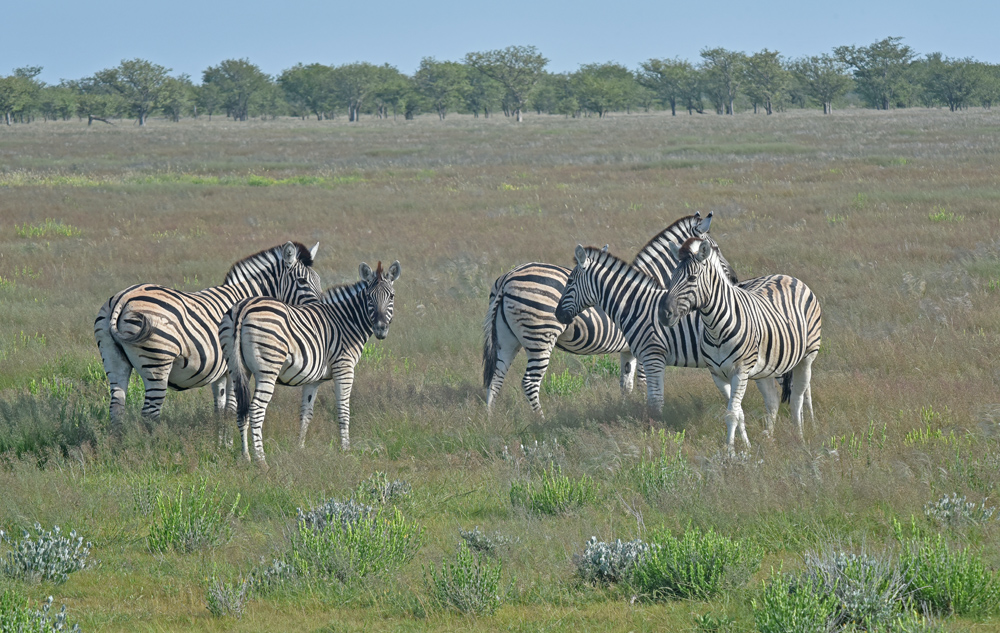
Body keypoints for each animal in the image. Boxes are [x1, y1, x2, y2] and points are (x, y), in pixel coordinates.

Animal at [93, 242, 320, 424]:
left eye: (317, 280)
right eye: (302, 281)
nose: (319, 310)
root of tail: (123, 298)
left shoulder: (219, 373)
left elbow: (220, 409)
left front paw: (220, 442)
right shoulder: (233, 367)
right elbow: (232, 409)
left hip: (114, 361)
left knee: (116, 408)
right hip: (157, 362)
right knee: (149, 413)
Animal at [225, 260, 400, 462]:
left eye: (391, 296)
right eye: (369, 297)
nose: (380, 329)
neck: (347, 321)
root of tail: (243, 308)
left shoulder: (313, 380)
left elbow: (306, 413)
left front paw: (300, 448)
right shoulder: (344, 368)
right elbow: (343, 410)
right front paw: (346, 449)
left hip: (237, 369)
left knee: (239, 410)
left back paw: (245, 456)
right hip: (267, 370)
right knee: (255, 410)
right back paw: (261, 459)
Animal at [556, 239, 780, 428]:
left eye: (570, 281)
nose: (558, 314)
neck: (636, 306)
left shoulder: (652, 355)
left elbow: (655, 401)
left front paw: (656, 433)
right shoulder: (647, 357)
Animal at [656, 237, 820, 454]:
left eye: (691, 278)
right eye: (671, 278)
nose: (663, 314)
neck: (715, 328)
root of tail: (786, 276)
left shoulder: (740, 371)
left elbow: (732, 413)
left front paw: (730, 452)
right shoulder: (718, 375)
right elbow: (738, 412)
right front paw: (747, 446)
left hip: (807, 356)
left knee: (798, 397)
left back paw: (799, 437)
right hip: (765, 369)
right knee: (773, 401)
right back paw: (770, 438)